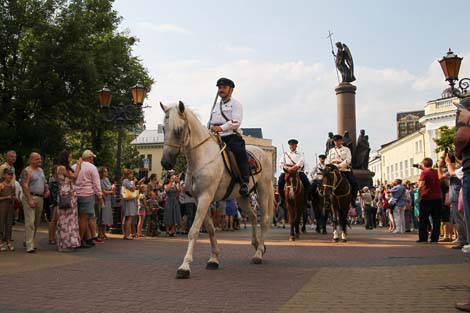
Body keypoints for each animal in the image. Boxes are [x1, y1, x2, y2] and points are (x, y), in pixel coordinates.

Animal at [160, 100, 274, 278]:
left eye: (178, 129)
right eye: (164, 129)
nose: (165, 163)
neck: (201, 157)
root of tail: (262, 152)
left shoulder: (205, 198)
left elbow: (193, 230)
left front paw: (185, 266)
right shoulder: (200, 200)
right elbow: (211, 229)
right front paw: (214, 259)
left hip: (263, 191)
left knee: (265, 220)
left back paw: (259, 253)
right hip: (242, 197)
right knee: (253, 217)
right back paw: (257, 246)